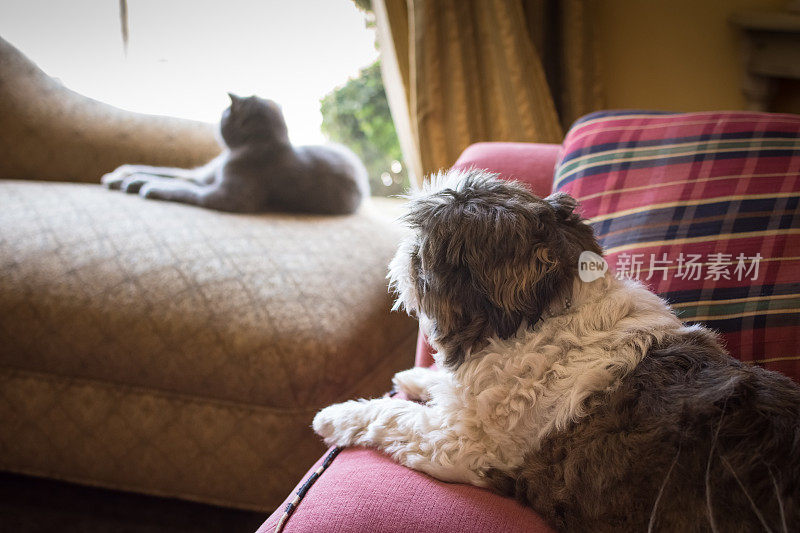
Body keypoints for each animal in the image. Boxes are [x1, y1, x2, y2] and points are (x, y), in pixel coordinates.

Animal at [101, 94, 372, 213]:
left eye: (224, 114)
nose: (216, 120)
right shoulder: (204, 177)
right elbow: (170, 173)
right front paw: (125, 177)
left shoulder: (228, 196)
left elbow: (185, 189)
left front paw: (148, 187)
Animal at [314, 168, 800, 528]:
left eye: (423, 247)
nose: (402, 254)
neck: (547, 316)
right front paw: (417, 377)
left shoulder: (461, 445)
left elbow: (390, 415)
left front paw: (333, 416)